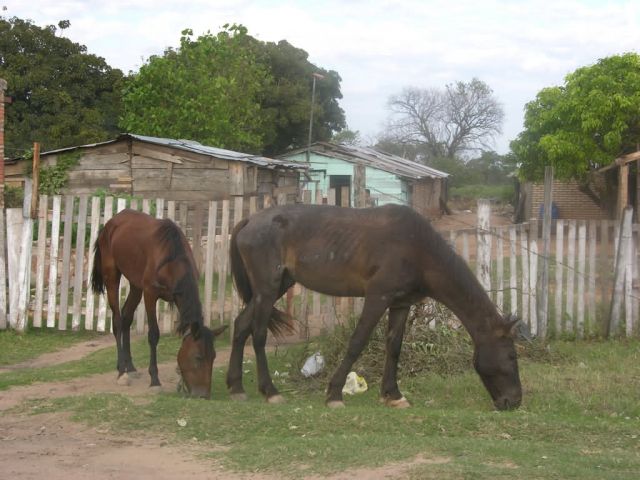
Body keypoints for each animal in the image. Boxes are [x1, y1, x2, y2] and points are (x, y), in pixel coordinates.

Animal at [91, 209, 226, 398]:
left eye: (213, 357)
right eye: (198, 357)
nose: (203, 395)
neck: (171, 258)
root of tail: (110, 223)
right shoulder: (150, 294)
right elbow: (153, 334)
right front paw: (154, 380)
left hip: (135, 284)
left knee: (126, 317)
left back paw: (130, 367)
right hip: (112, 275)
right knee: (117, 320)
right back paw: (122, 372)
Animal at [227, 203, 522, 410]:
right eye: (511, 356)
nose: (514, 401)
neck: (417, 248)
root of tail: (250, 220)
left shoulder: (400, 304)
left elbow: (394, 348)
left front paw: (393, 395)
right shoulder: (377, 297)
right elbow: (358, 342)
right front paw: (334, 394)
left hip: (275, 288)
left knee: (240, 327)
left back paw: (236, 387)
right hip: (268, 289)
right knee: (258, 334)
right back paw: (270, 392)